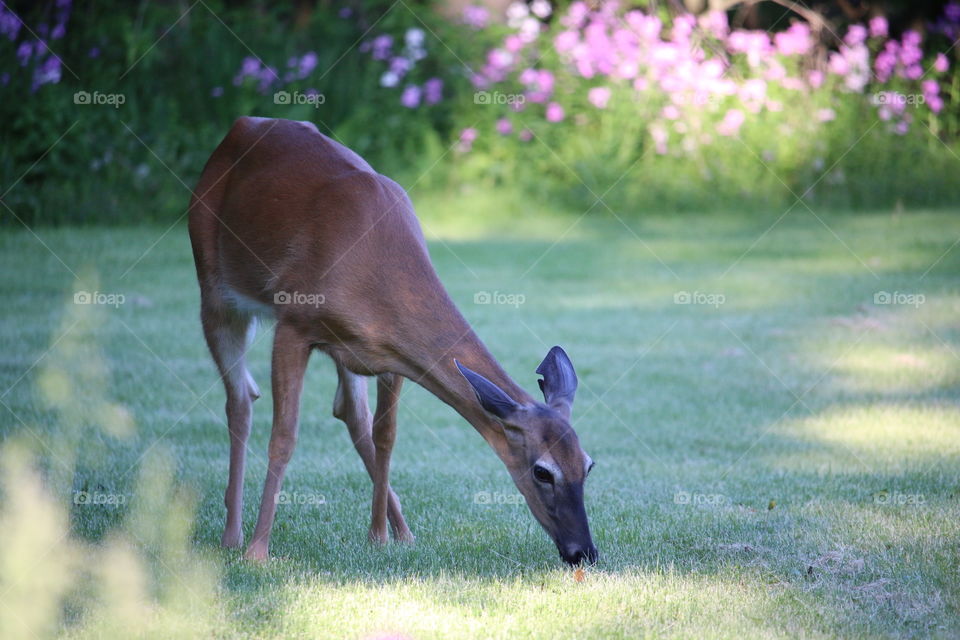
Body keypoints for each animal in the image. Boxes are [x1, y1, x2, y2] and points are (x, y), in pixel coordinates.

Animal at [187, 117, 597, 566]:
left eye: (587, 465)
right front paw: (259, 552)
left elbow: (385, 435)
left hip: (346, 352)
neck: (373, 264)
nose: (583, 551)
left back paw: (401, 530)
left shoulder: (390, 355)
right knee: (240, 400)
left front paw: (380, 538)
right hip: (214, 289)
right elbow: (284, 437)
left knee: (348, 412)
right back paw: (233, 536)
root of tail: (240, 126)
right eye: (542, 471)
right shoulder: (294, 323)